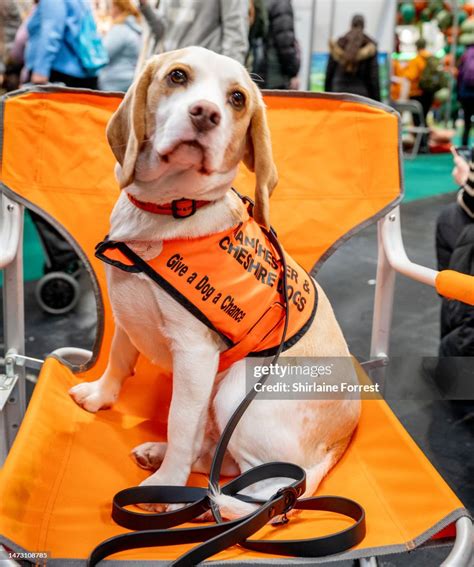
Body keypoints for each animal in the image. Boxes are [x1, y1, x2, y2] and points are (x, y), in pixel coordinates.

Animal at [69, 47, 360, 520]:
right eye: (177, 76)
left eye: (237, 98)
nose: (205, 114)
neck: (168, 210)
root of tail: (337, 443)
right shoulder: (127, 309)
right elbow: (118, 356)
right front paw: (101, 395)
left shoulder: (194, 355)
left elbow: (179, 421)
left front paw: (166, 485)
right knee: (219, 459)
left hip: (235, 392)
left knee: (268, 488)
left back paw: (205, 499)